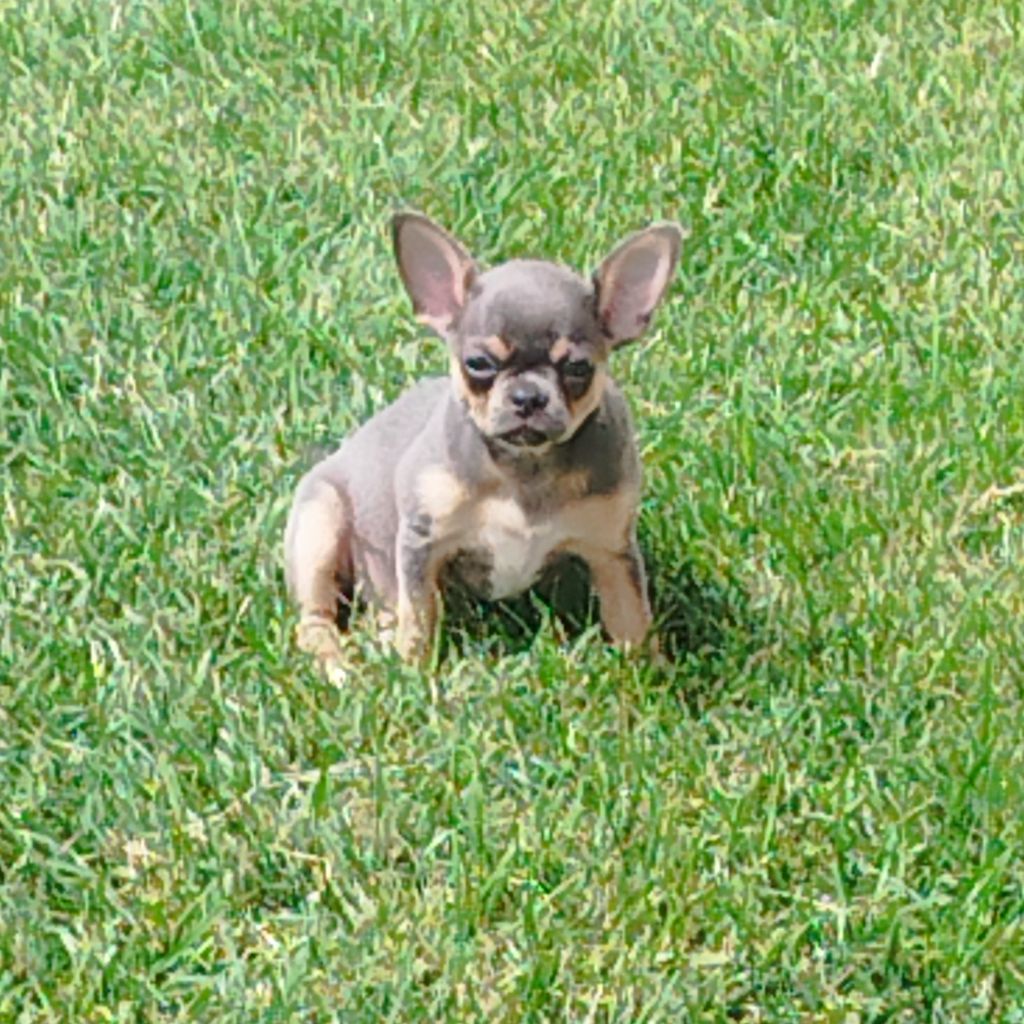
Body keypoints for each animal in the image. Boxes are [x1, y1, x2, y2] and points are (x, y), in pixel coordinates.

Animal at [282, 211, 679, 667]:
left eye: (579, 368)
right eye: (478, 363)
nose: (528, 396)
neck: (526, 467)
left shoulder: (611, 551)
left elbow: (632, 619)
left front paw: (649, 672)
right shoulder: (422, 542)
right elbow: (420, 615)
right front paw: (413, 668)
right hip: (319, 523)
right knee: (315, 621)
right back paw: (338, 664)